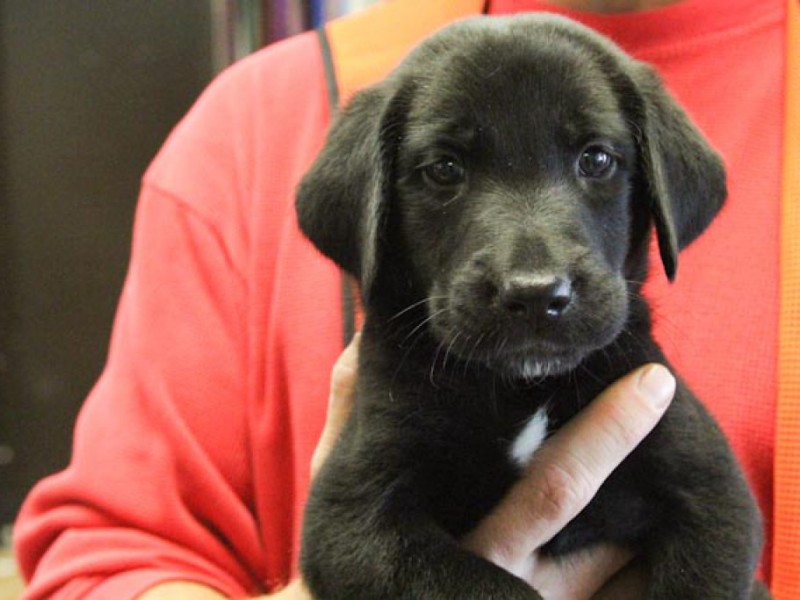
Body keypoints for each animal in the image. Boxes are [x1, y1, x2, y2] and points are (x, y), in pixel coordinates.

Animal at [296, 14, 764, 600]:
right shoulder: (352, 517)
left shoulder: (711, 491)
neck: (524, 388)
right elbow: (485, 584)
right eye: (444, 168)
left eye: (596, 159)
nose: (537, 294)